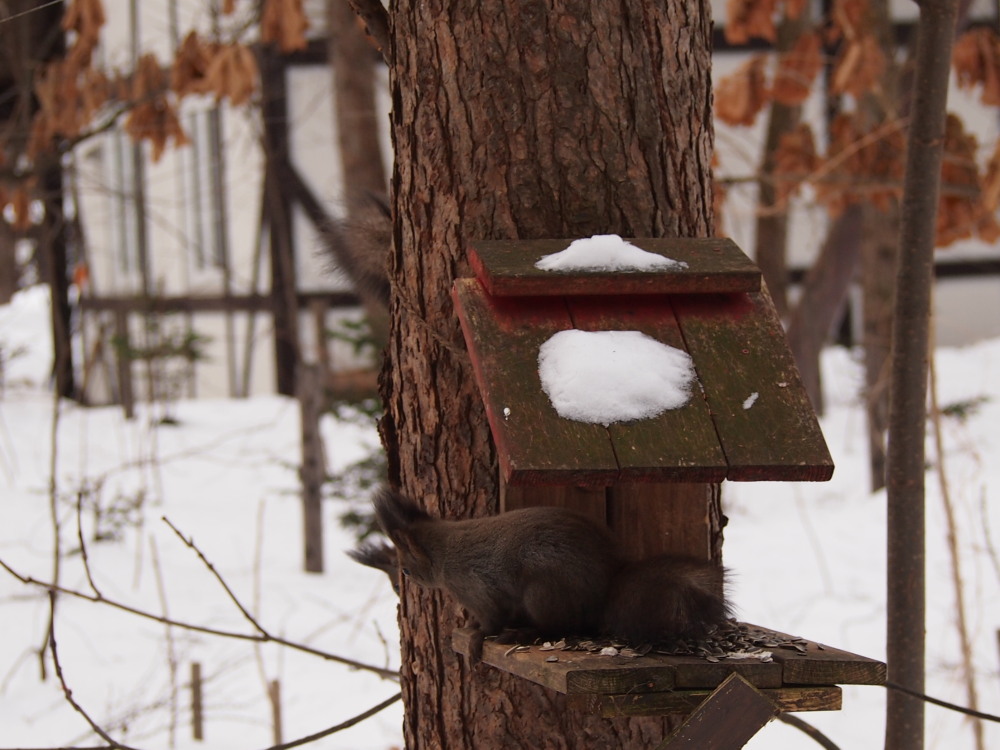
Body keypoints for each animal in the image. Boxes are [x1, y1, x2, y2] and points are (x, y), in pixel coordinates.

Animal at [364, 488, 732, 648]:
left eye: (406, 570)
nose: (403, 585)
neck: (443, 552)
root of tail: (607, 584)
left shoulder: (474, 587)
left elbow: (491, 616)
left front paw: (479, 633)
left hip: (543, 590)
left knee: (560, 627)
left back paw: (525, 633)